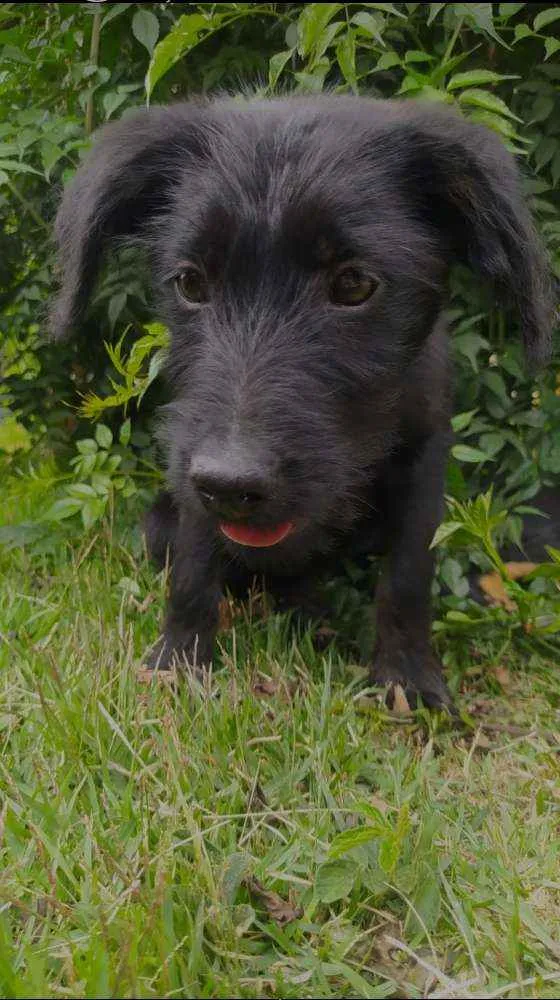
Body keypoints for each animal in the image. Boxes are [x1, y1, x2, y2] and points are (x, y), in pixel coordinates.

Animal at [51, 92, 552, 704]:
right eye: (190, 283)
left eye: (354, 284)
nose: (232, 485)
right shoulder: (193, 480)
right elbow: (193, 567)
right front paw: (177, 661)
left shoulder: (426, 456)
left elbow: (409, 574)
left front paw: (408, 677)